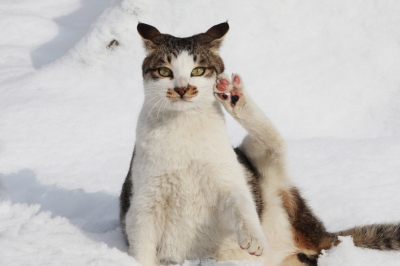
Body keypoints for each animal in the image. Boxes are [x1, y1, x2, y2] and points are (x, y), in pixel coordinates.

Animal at [119, 21, 400, 264]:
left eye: (197, 70)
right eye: (164, 71)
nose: (181, 89)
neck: (184, 127)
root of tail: (316, 236)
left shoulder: (229, 181)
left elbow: (243, 205)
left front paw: (254, 239)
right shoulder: (143, 201)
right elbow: (142, 244)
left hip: (257, 158)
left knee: (272, 140)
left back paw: (234, 96)